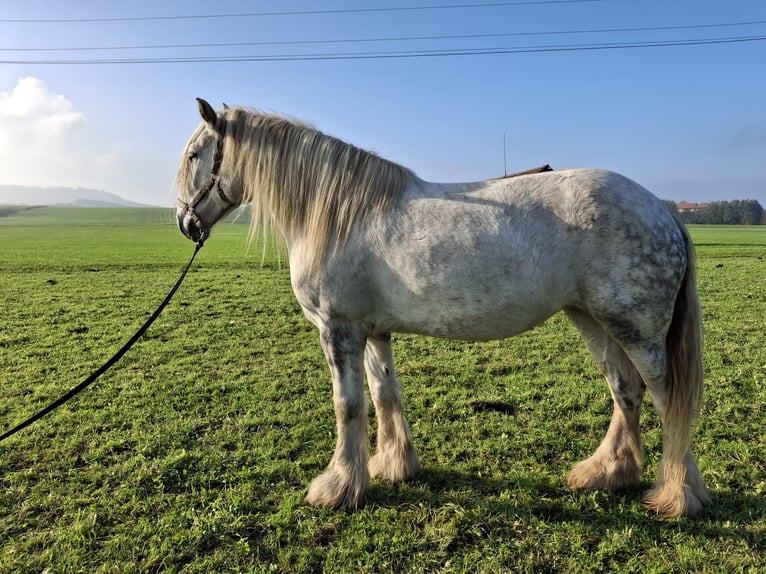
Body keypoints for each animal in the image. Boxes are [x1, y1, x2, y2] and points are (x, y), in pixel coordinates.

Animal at [175, 98, 710, 518]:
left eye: (195, 154)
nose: (184, 223)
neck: (342, 214)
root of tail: (662, 210)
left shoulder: (338, 329)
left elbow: (348, 405)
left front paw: (338, 487)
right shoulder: (373, 331)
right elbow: (384, 394)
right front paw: (393, 466)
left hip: (639, 331)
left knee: (669, 401)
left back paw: (677, 496)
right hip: (595, 322)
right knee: (626, 391)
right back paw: (606, 473)